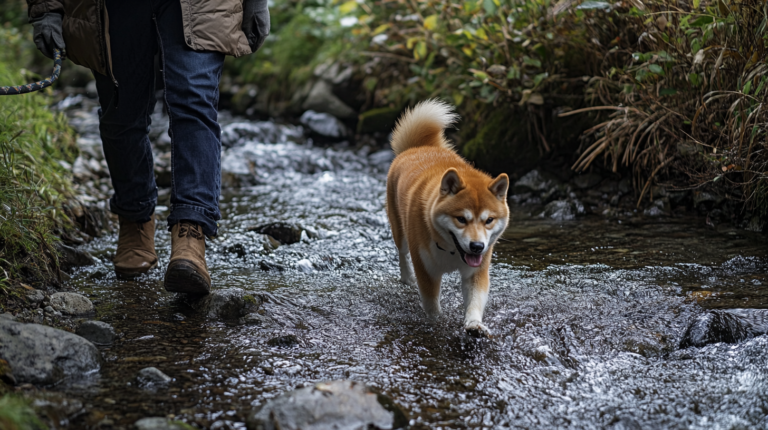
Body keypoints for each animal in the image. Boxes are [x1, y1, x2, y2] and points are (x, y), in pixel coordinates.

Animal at [384, 99, 510, 338]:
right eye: (461, 219)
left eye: (488, 220)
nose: (477, 246)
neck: (452, 251)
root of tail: (418, 148)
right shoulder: (426, 270)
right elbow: (431, 304)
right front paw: (437, 324)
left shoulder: (477, 271)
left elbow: (475, 301)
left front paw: (474, 325)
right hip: (400, 231)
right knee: (402, 253)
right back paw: (407, 278)